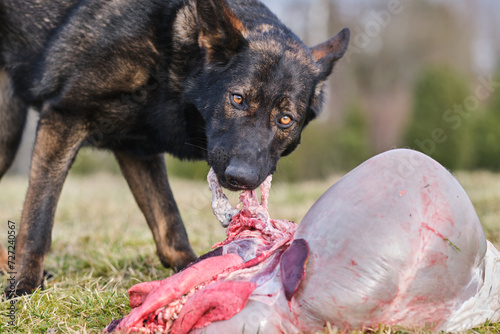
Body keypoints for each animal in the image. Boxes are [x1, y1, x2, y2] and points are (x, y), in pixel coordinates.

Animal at [0, 0, 350, 294]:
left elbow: (169, 224)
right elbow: (38, 218)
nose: (241, 177)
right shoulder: (64, 118)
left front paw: (192, 271)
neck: (174, 59)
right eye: (237, 98)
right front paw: (23, 287)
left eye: (286, 119)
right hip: (9, 135)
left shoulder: (138, 151)